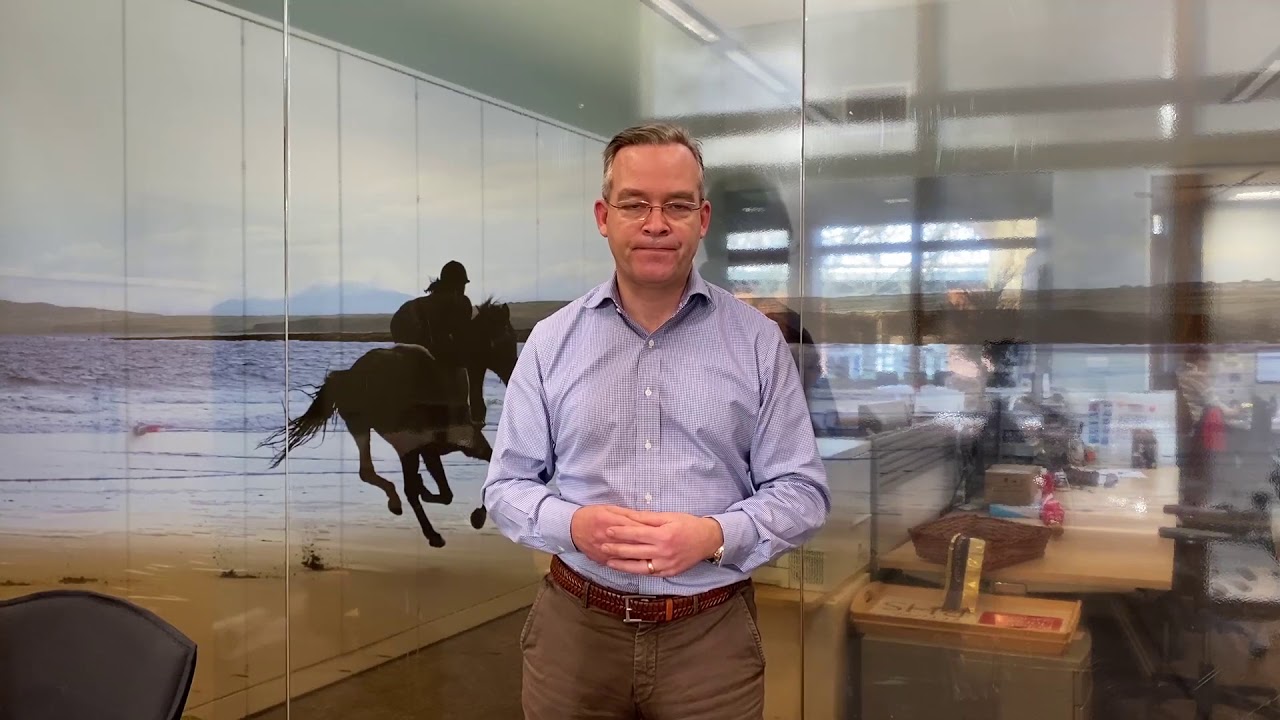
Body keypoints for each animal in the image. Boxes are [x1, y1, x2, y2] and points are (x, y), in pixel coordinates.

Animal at [259, 299, 518, 547]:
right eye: (507, 339)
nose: (513, 374)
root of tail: (348, 375)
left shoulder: (451, 446)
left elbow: (472, 479)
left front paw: (476, 513)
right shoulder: (427, 446)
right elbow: (440, 492)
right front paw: (458, 518)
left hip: (368, 430)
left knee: (371, 473)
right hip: (380, 433)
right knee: (384, 479)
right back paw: (419, 521)